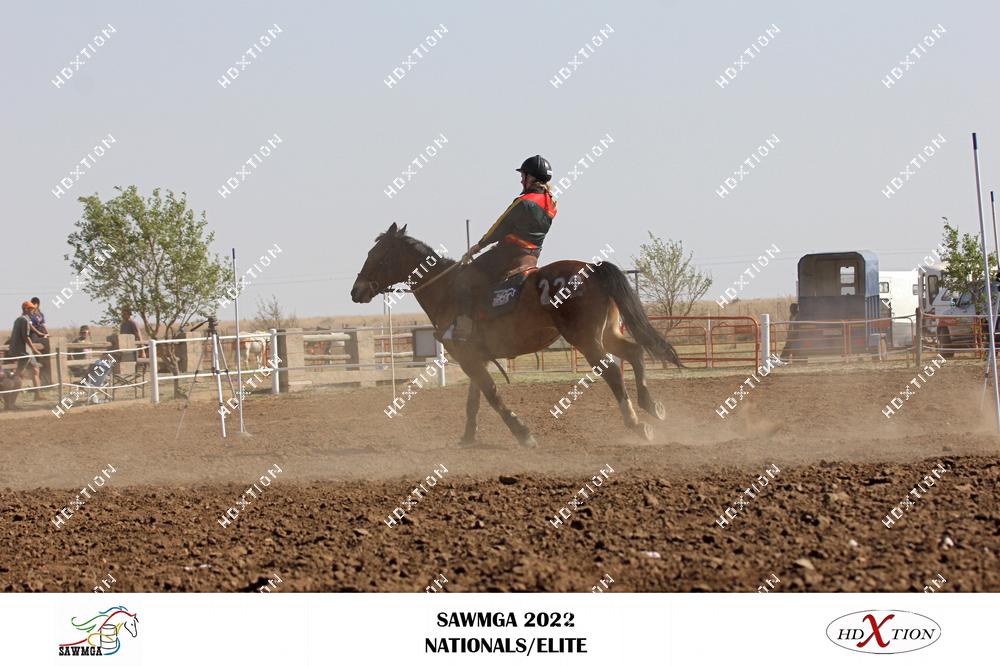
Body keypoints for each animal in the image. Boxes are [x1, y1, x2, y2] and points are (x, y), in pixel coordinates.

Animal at [351, 223, 683, 447]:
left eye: (376, 255)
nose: (356, 291)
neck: (445, 289)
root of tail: (592, 268)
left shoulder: (468, 357)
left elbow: (491, 394)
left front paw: (523, 433)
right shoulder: (475, 357)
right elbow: (475, 399)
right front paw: (468, 438)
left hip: (587, 340)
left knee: (613, 371)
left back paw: (637, 424)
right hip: (608, 333)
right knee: (635, 352)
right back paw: (652, 406)